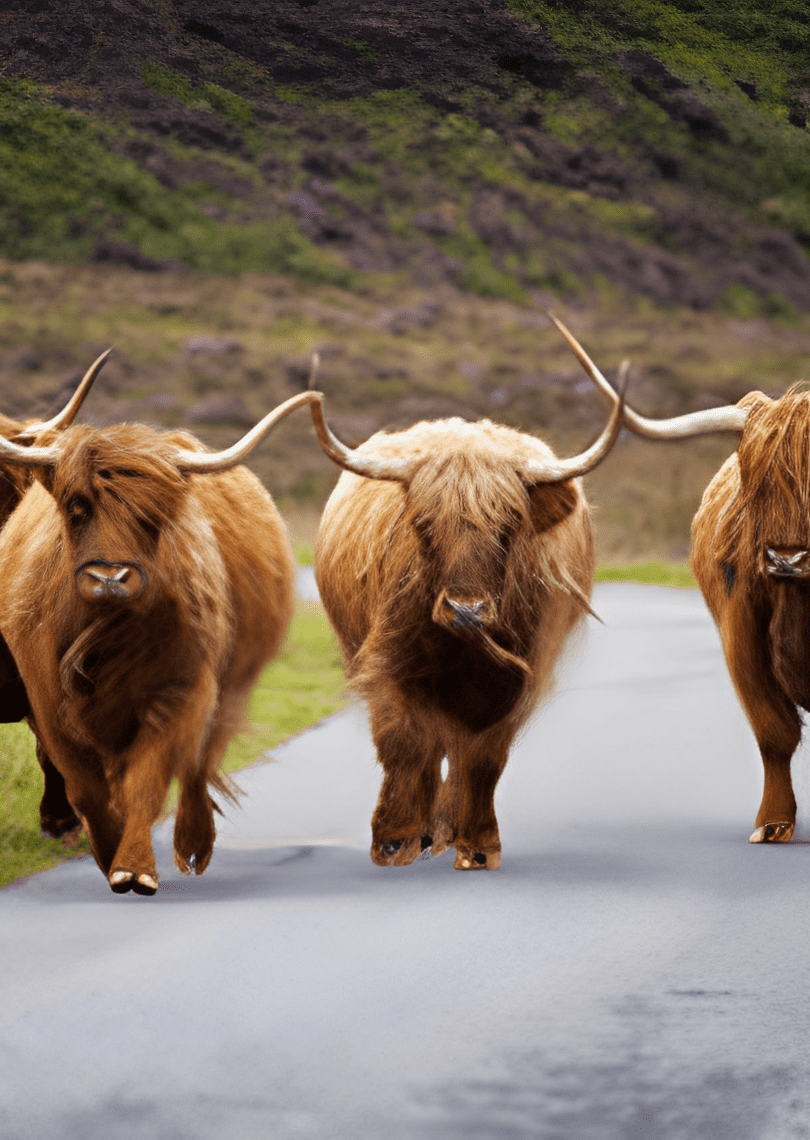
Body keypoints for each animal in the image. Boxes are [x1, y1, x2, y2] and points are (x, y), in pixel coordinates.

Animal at [0, 388, 318, 893]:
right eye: (77, 506)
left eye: (151, 517)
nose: (110, 578)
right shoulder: (44, 696)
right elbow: (83, 786)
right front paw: (107, 850)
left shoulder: (179, 689)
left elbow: (149, 779)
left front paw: (133, 866)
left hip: (228, 685)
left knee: (198, 764)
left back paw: (194, 842)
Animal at [306, 374, 625, 870]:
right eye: (423, 523)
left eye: (509, 526)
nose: (466, 610)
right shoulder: (388, 667)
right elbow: (403, 741)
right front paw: (395, 838)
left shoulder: (513, 680)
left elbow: (483, 758)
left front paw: (476, 845)